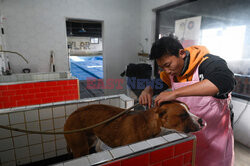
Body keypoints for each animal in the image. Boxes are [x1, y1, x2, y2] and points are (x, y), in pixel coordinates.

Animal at [63, 100, 202, 158]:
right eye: (183, 115)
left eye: (189, 110)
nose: (201, 120)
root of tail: (71, 115)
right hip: (80, 148)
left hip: (90, 140)